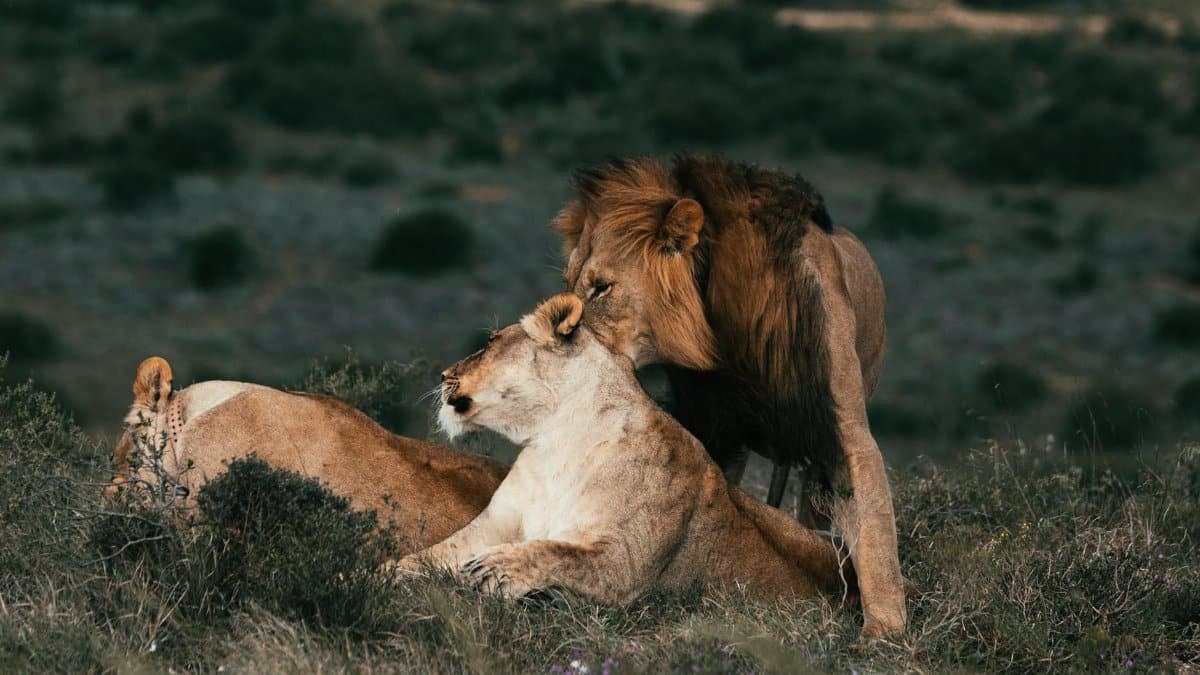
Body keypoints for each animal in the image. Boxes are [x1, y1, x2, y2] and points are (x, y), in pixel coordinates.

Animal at [396, 294, 851, 606]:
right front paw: (388, 574)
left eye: (490, 342)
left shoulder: (626, 565)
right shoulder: (493, 526)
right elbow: (436, 552)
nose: (444, 375)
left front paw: (496, 569)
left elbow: (555, 551)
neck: (552, 443)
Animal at [552, 155, 904, 637]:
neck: (723, 336)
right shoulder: (716, 429)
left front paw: (885, 631)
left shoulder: (840, 428)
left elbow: (874, 523)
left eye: (602, 287)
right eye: (569, 280)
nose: (551, 332)